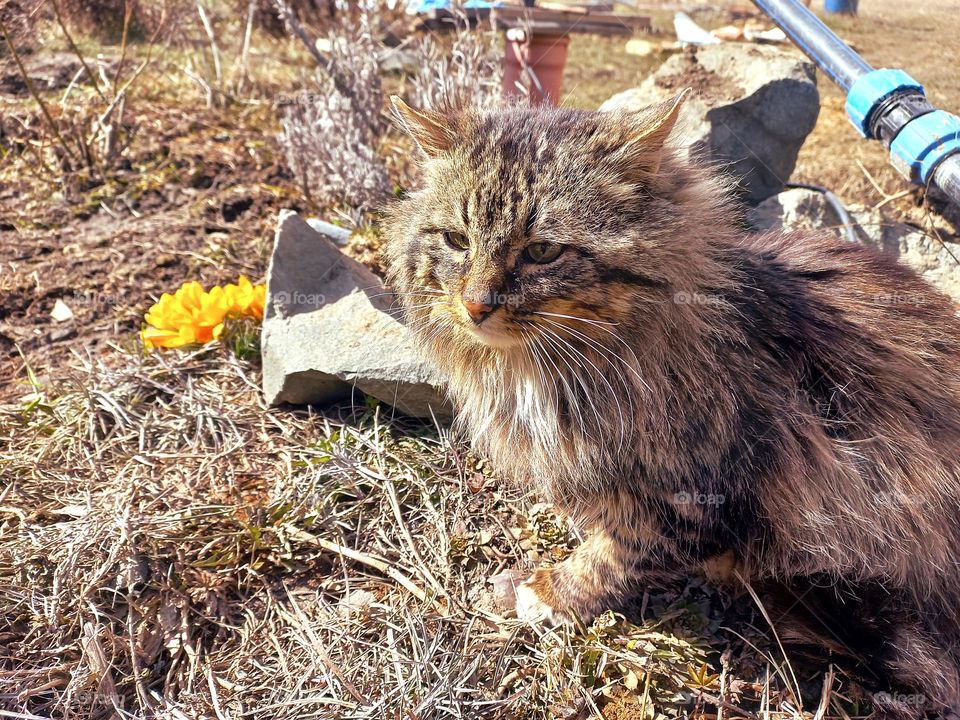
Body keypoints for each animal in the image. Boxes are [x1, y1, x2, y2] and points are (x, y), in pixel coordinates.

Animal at [380, 93, 960, 716]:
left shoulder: (696, 490)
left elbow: (618, 551)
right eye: (455, 241)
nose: (475, 305)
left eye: (542, 251)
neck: (542, 370)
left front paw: (553, 592)